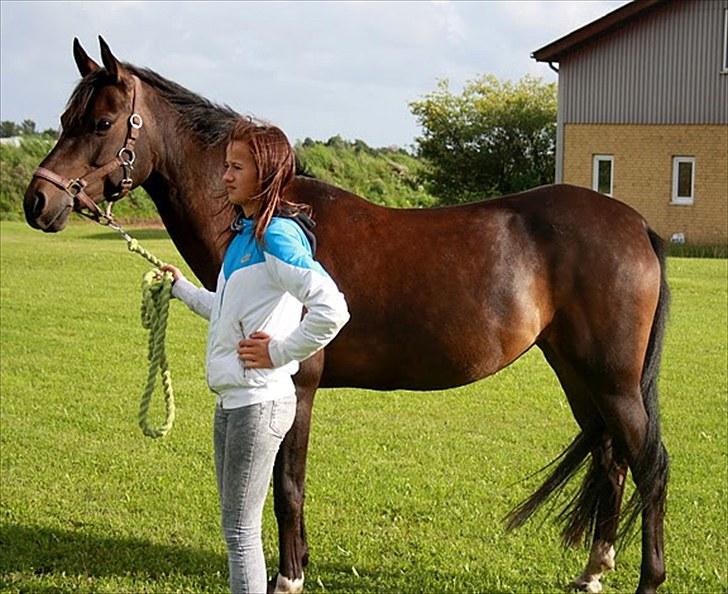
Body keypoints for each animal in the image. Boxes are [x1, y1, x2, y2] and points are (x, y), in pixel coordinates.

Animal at [24, 38, 672, 592]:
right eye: (64, 118)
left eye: (101, 123)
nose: (38, 201)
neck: (275, 213)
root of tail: (636, 223)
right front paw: (297, 564)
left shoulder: (297, 385)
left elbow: (288, 483)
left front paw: (288, 577)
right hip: (578, 374)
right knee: (612, 459)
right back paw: (593, 571)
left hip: (611, 381)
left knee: (649, 464)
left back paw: (647, 578)